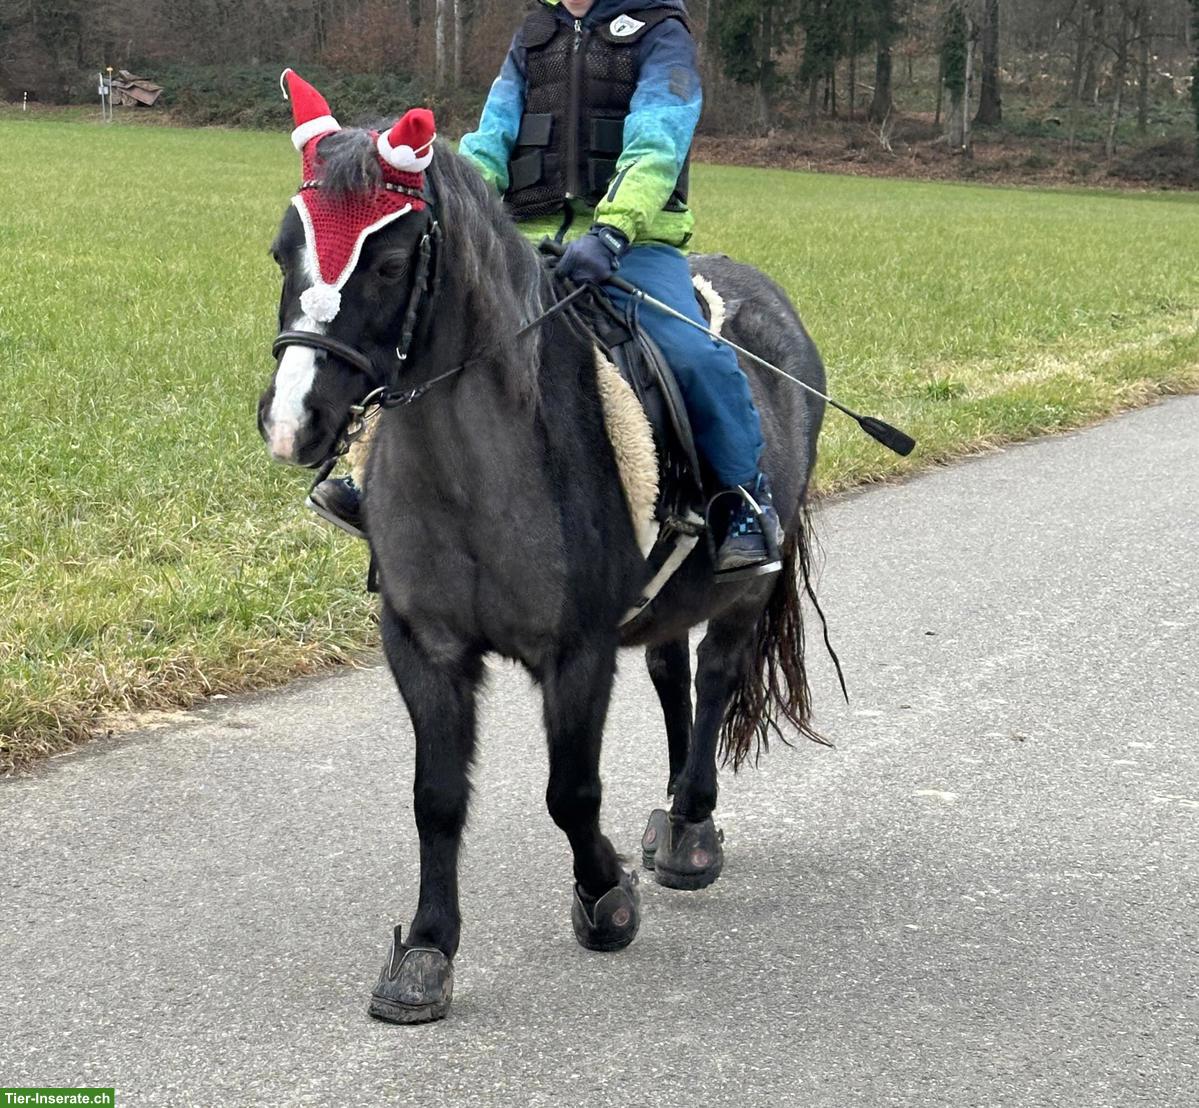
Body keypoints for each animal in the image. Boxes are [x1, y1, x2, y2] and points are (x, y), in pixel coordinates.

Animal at [257, 123, 830, 1024]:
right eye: (284, 250)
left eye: (389, 262)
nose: (291, 424)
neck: (475, 471)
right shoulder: (423, 647)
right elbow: (435, 798)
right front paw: (426, 950)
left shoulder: (575, 654)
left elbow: (571, 792)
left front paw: (605, 898)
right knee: (671, 674)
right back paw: (671, 812)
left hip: (745, 590)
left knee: (715, 677)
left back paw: (691, 827)